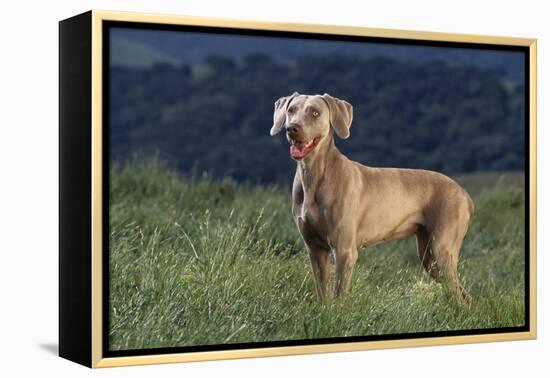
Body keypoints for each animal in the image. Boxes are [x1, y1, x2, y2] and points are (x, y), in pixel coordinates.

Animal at [272, 93, 474, 302]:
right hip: (429, 256)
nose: (292, 128)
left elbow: (339, 298)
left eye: (315, 112)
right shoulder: (315, 250)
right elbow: (323, 296)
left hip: (441, 249)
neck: (313, 175)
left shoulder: (344, 251)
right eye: (291, 110)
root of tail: (465, 194)